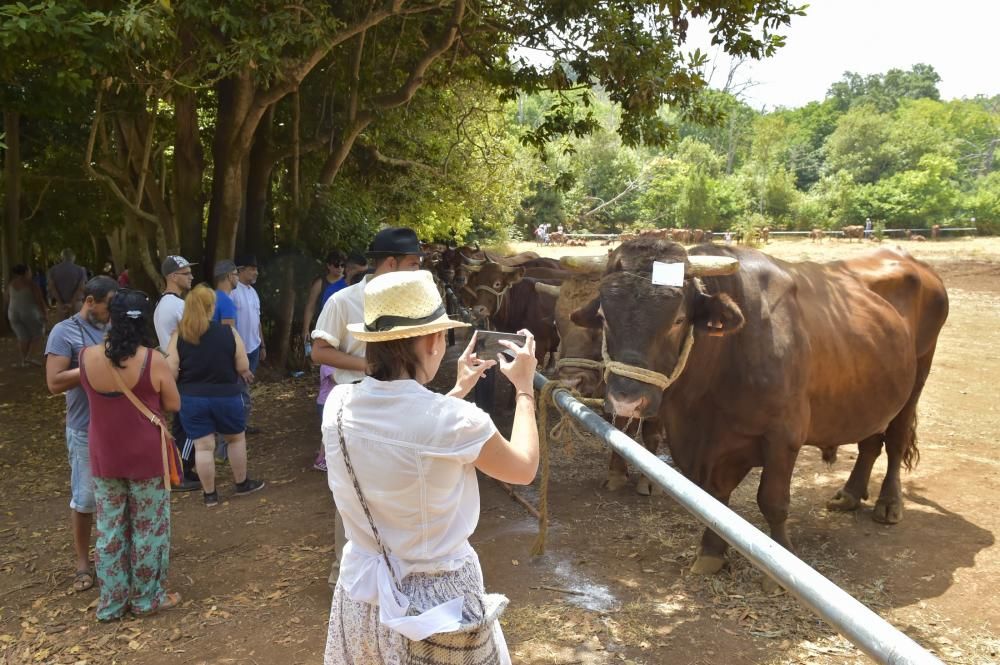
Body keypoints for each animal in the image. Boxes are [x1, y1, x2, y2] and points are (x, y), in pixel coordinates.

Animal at [572, 239, 944, 588]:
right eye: (604, 317)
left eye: (678, 319)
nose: (626, 399)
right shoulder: (714, 443)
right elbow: (716, 500)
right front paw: (710, 554)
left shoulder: (784, 436)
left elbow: (773, 501)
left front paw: (781, 567)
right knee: (870, 442)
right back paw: (849, 494)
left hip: (917, 379)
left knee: (895, 441)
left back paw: (889, 504)